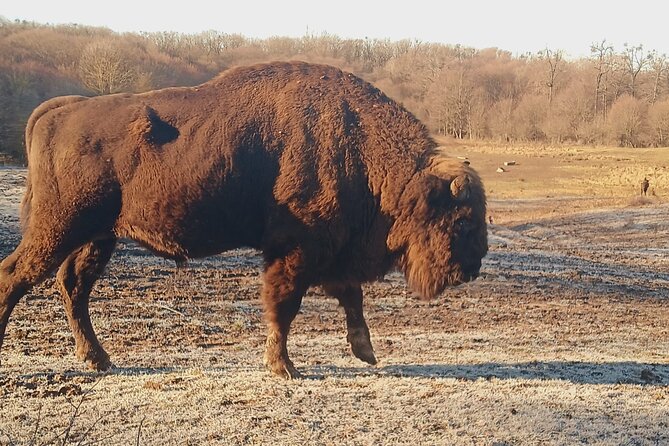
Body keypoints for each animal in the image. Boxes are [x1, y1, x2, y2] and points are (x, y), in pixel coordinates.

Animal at [0, 61, 487, 378]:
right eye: (461, 220)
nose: (474, 265)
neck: (361, 145)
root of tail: (58, 110)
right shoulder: (296, 251)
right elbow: (285, 306)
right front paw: (284, 368)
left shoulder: (328, 253)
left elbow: (350, 297)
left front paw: (365, 353)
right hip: (59, 228)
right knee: (17, 276)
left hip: (98, 237)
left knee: (72, 286)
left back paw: (99, 359)